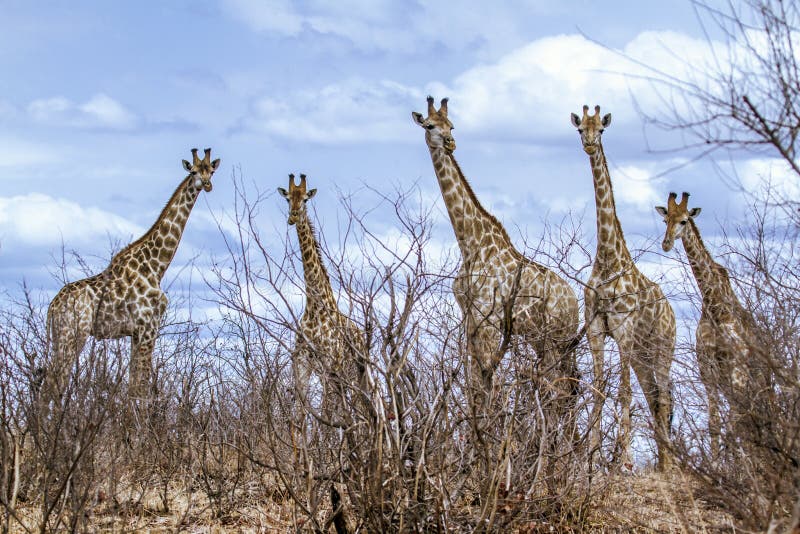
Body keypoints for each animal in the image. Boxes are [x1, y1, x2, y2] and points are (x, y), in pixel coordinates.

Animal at [48, 149, 220, 400]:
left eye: (211, 171)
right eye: (193, 171)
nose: (207, 185)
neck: (156, 266)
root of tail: (52, 307)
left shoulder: (135, 333)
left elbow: (132, 387)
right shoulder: (149, 328)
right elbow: (142, 388)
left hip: (58, 337)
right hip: (73, 334)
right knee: (55, 384)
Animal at [412, 96, 580, 408]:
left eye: (452, 125)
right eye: (430, 125)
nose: (450, 142)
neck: (470, 244)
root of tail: (574, 302)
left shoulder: (488, 320)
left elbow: (492, 386)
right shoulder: (469, 320)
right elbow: (474, 386)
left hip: (556, 335)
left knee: (561, 389)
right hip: (546, 339)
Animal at [572, 105, 680, 474]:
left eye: (602, 130)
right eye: (581, 129)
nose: (590, 145)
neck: (608, 257)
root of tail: (672, 312)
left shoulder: (624, 329)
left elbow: (622, 393)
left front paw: (625, 462)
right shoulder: (595, 327)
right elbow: (599, 389)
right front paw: (591, 458)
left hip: (661, 348)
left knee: (663, 397)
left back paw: (667, 464)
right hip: (643, 355)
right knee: (656, 396)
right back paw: (663, 461)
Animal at [656, 193, 756, 460]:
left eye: (684, 220)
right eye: (666, 220)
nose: (666, 244)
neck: (716, 307)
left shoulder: (737, 370)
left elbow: (732, 423)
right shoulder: (708, 370)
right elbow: (714, 423)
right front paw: (715, 464)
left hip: (754, 379)